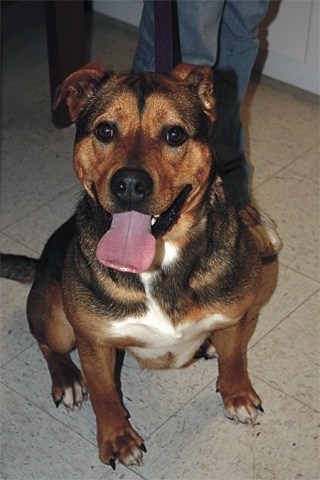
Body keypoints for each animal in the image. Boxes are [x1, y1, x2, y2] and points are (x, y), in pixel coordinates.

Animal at [1, 62, 264, 468]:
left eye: (174, 134)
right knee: (48, 344)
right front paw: (117, 438)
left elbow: (234, 358)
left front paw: (236, 394)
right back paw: (67, 380)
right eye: (105, 130)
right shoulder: (94, 342)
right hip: (57, 317)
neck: (162, 263)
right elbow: (105, 394)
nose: (129, 184)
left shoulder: (234, 315)